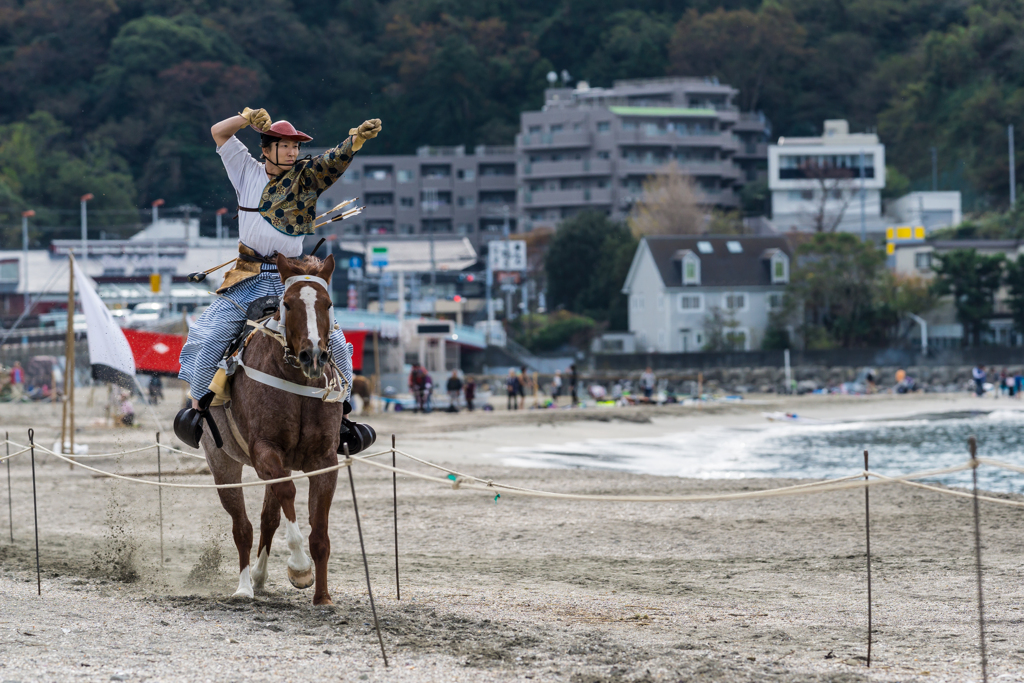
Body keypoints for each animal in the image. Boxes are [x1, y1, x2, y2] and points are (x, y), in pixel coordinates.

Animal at [200, 253, 347, 605]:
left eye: (328, 304)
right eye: (289, 304)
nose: (313, 355)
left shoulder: (325, 459)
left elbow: (319, 531)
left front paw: (323, 597)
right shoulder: (265, 450)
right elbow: (287, 493)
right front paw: (299, 567)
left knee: (268, 519)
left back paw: (259, 577)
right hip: (222, 462)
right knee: (242, 527)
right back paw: (244, 587)